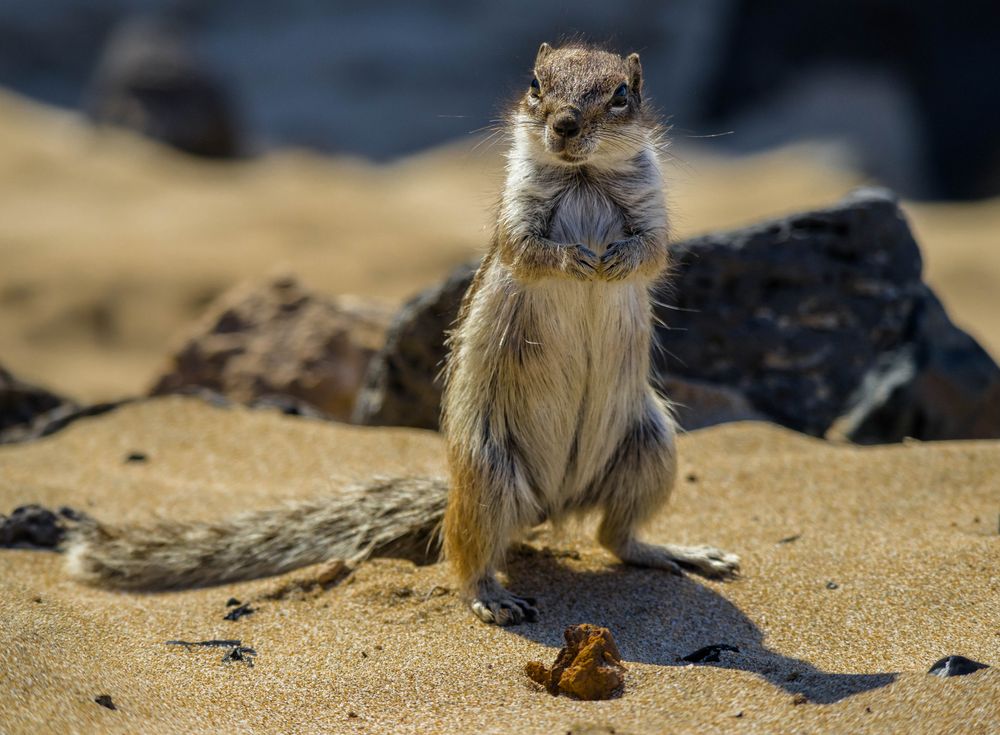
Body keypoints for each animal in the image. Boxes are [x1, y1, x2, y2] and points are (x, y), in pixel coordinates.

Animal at [62, 41, 736, 628]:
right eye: (535, 84)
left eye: (622, 94)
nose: (566, 125)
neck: (585, 176)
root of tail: (551, 503)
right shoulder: (516, 214)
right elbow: (529, 250)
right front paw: (579, 260)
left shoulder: (651, 206)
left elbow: (652, 250)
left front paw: (614, 262)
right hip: (490, 474)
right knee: (468, 558)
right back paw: (492, 598)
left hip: (651, 448)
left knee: (615, 536)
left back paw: (680, 552)